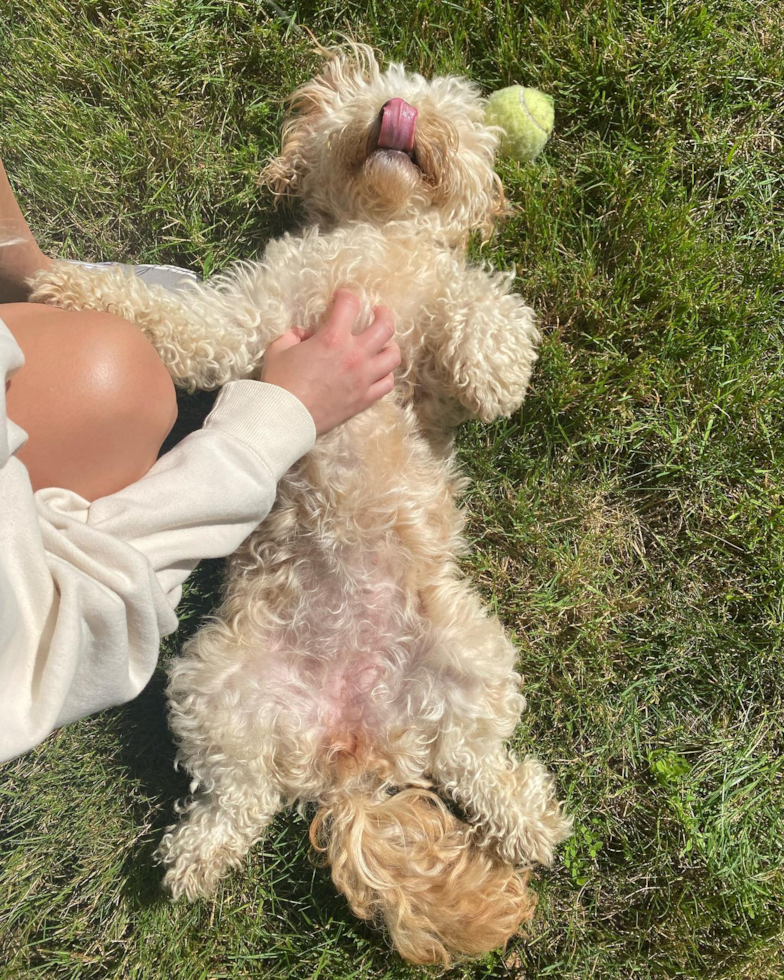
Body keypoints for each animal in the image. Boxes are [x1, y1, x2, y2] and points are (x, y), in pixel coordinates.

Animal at [29, 44, 568, 964]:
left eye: (443, 108)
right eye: (371, 91)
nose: (397, 112)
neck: (377, 242)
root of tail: (352, 752)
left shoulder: (442, 344)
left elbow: (487, 308)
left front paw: (497, 372)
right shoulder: (250, 322)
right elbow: (184, 323)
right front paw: (72, 285)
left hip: (470, 656)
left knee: (476, 764)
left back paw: (529, 822)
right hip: (217, 685)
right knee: (237, 798)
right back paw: (197, 858)